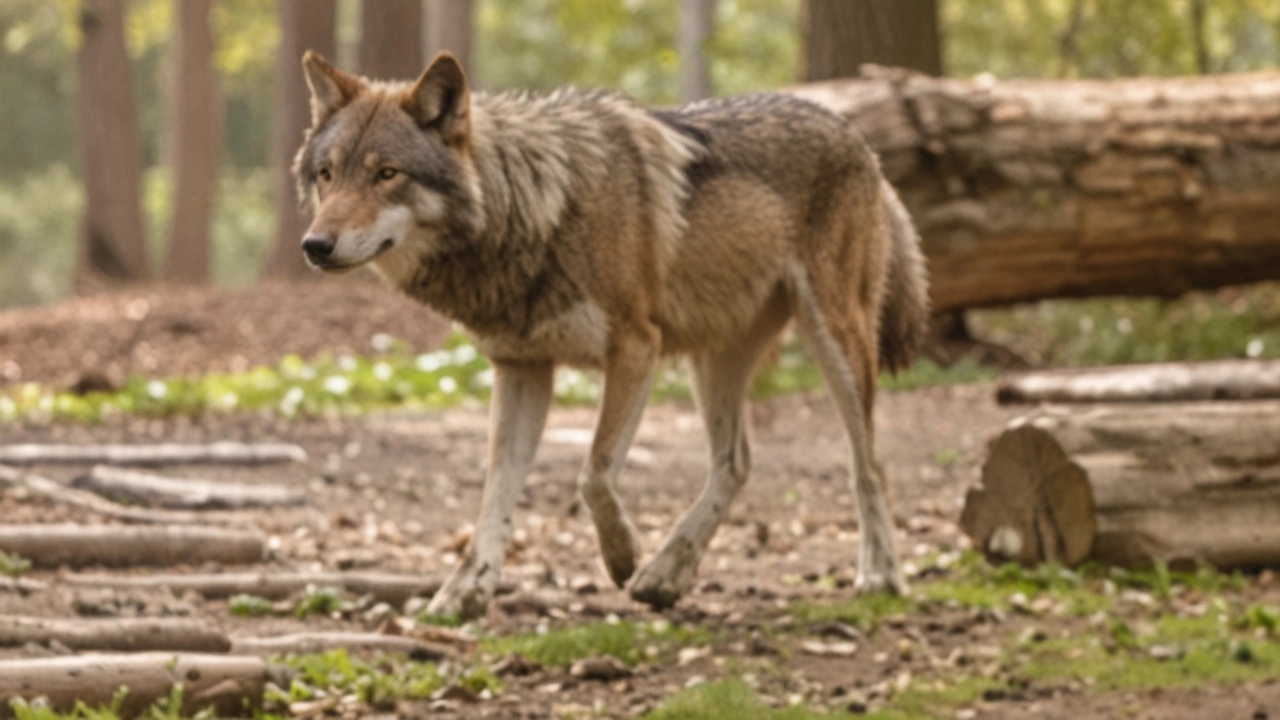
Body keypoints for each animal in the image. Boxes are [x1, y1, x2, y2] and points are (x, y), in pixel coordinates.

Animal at [293, 51, 926, 617]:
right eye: (328, 175)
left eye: (387, 174)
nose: (314, 246)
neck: (535, 212)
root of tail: (856, 135)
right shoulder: (521, 368)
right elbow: (496, 490)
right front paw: (466, 589)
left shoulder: (635, 348)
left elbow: (593, 474)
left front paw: (621, 556)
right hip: (711, 360)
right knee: (736, 462)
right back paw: (668, 575)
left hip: (833, 341)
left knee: (868, 463)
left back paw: (880, 575)